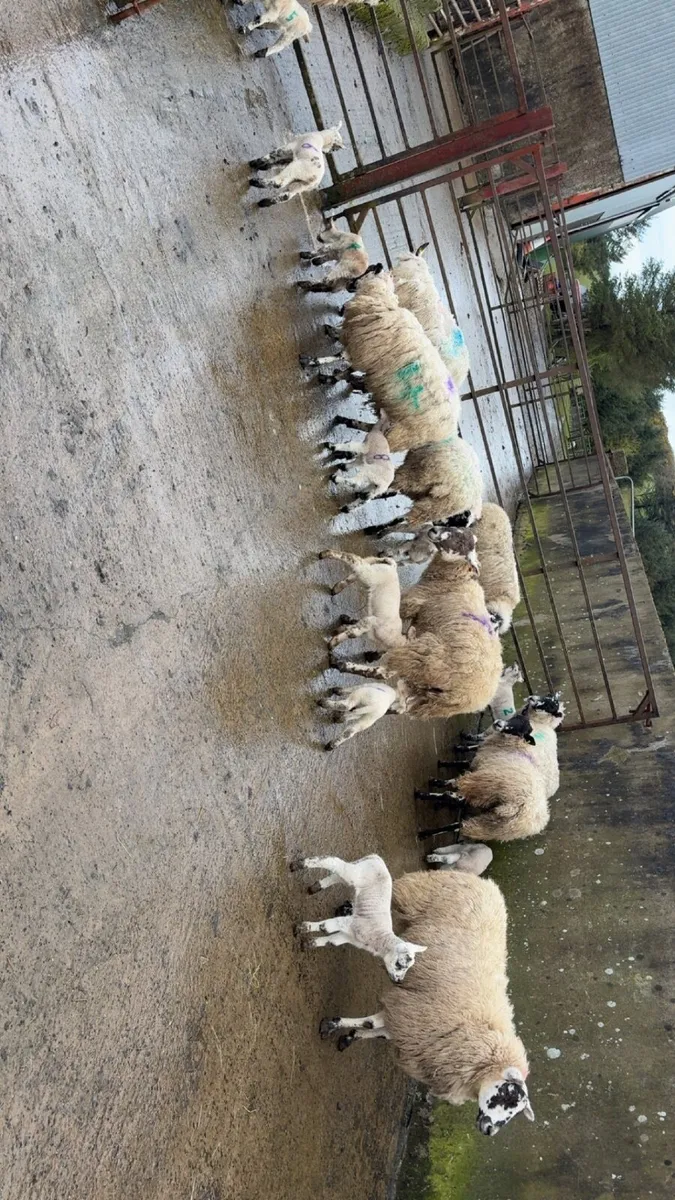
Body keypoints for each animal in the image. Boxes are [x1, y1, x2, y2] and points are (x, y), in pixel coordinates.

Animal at [290, 854, 426, 982]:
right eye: (400, 965)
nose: (399, 980)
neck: (379, 939)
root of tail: (377, 859)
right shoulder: (350, 922)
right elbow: (325, 927)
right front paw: (301, 928)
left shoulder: (349, 937)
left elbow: (332, 941)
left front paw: (308, 944)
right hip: (359, 873)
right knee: (337, 864)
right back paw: (300, 864)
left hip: (359, 870)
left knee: (337, 876)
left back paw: (315, 887)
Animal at [319, 870, 534, 1135]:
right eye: (507, 1093)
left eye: (514, 1114)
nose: (489, 1130)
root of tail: (484, 882)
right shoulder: (413, 1012)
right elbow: (371, 1023)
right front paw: (332, 1025)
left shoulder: (414, 1032)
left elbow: (379, 1030)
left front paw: (349, 1037)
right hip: (416, 894)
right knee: (392, 891)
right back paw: (346, 905)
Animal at [332, 530, 503, 720]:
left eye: (460, 542)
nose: (433, 531)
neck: (455, 578)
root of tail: (472, 699)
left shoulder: (412, 603)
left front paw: (349, 623)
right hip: (426, 694)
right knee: (402, 705)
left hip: (424, 660)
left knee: (383, 673)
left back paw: (341, 665)